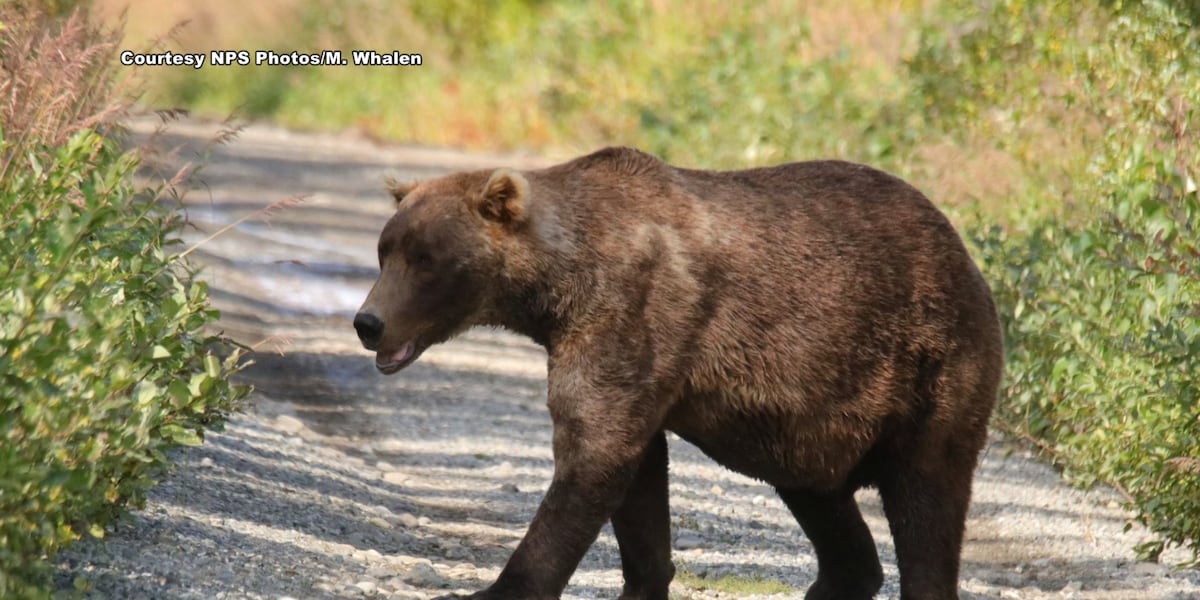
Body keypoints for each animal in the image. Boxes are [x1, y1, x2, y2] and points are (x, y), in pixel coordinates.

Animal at [355, 146, 1003, 600]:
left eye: (427, 259)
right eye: (385, 251)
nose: (368, 322)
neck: (559, 286)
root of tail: (964, 253)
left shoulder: (631, 311)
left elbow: (594, 452)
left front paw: (500, 585)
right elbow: (635, 477)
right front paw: (643, 580)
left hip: (928, 371)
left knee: (928, 504)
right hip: (812, 425)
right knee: (829, 514)